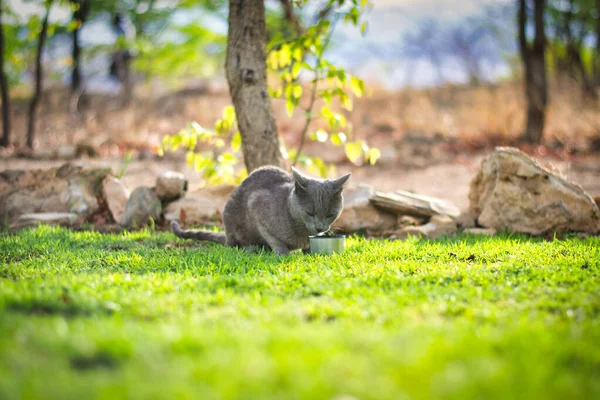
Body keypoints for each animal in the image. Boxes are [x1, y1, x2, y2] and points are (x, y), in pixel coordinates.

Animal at [171, 165, 350, 253]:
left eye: (330, 214)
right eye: (309, 213)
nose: (319, 228)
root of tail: (227, 236)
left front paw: (308, 251)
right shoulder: (256, 205)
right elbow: (274, 239)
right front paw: (282, 253)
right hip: (233, 223)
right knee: (235, 244)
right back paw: (252, 248)